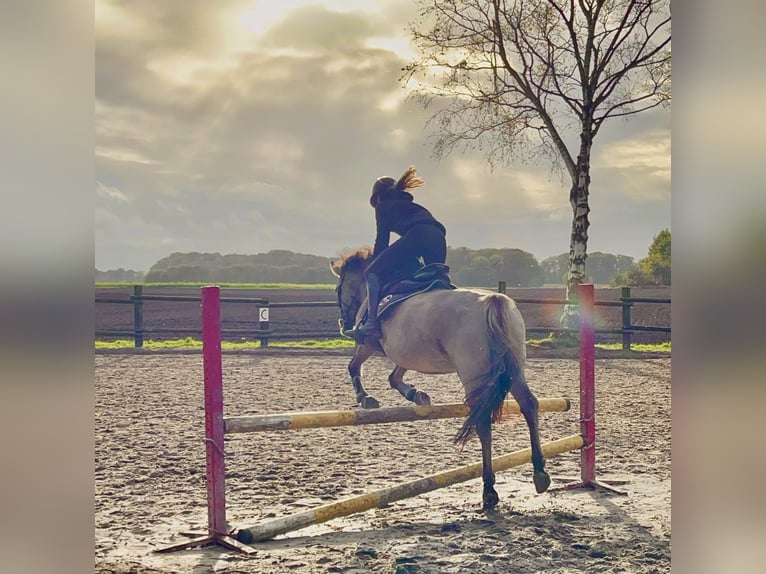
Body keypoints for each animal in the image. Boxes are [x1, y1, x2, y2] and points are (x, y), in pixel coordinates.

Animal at [330, 248, 552, 512]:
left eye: (338, 288)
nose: (344, 323)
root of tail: (493, 301)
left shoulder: (368, 344)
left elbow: (355, 366)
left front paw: (366, 398)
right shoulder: (406, 354)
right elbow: (394, 377)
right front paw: (417, 395)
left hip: (473, 373)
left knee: (482, 420)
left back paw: (489, 490)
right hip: (514, 370)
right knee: (529, 405)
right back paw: (539, 472)